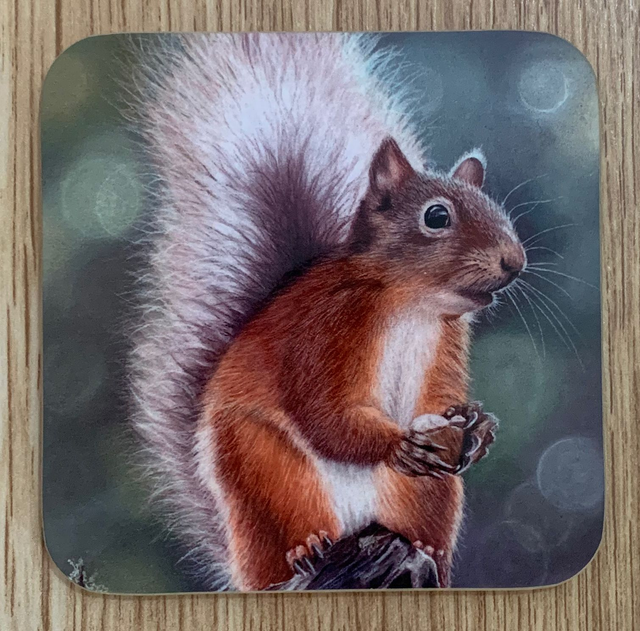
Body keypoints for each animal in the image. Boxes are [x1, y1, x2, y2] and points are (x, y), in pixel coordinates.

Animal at [130, 33, 526, 591]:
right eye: (436, 217)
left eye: (498, 210)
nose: (515, 262)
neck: (412, 304)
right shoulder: (325, 327)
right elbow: (323, 412)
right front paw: (396, 445)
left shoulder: (446, 341)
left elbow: (436, 398)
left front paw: (478, 425)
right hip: (266, 472)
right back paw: (307, 549)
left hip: (426, 494)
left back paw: (429, 555)